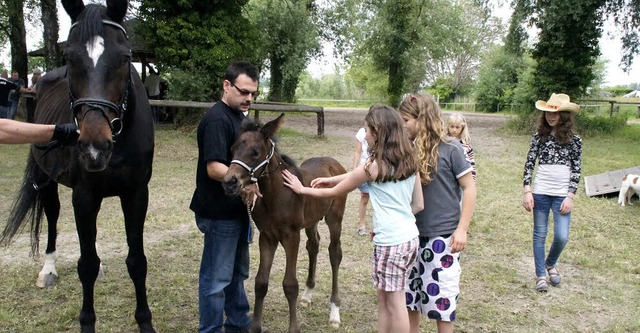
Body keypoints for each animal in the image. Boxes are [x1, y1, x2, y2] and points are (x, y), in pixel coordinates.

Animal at [0, 0, 155, 332]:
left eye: (125, 58)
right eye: (70, 58)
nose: (95, 147)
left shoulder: (136, 194)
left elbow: (137, 261)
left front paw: (145, 322)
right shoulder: (84, 196)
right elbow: (87, 265)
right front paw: (87, 322)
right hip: (46, 180)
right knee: (53, 216)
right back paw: (48, 269)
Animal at [222, 115, 348, 332]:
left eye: (255, 152)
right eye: (232, 149)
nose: (230, 182)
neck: (275, 195)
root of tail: (334, 163)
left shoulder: (291, 236)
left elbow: (290, 285)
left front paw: (293, 328)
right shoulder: (267, 237)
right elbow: (260, 282)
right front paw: (255, 327)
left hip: (335, 218)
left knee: (334, 253)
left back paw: (334, 312)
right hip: (311, 220)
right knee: (313, 245)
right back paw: (307, 296)